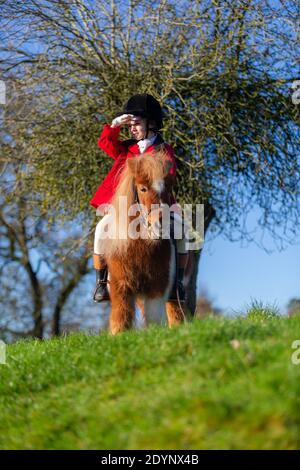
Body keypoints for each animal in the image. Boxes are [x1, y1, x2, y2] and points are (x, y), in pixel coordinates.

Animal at [101, 147, 185, 334]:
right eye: (143, 189)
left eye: (169, 188)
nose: (161, 224)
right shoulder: (121, 288)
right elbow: (121, 319)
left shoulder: (158, 287)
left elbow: (155, 318)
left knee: (176, 313)